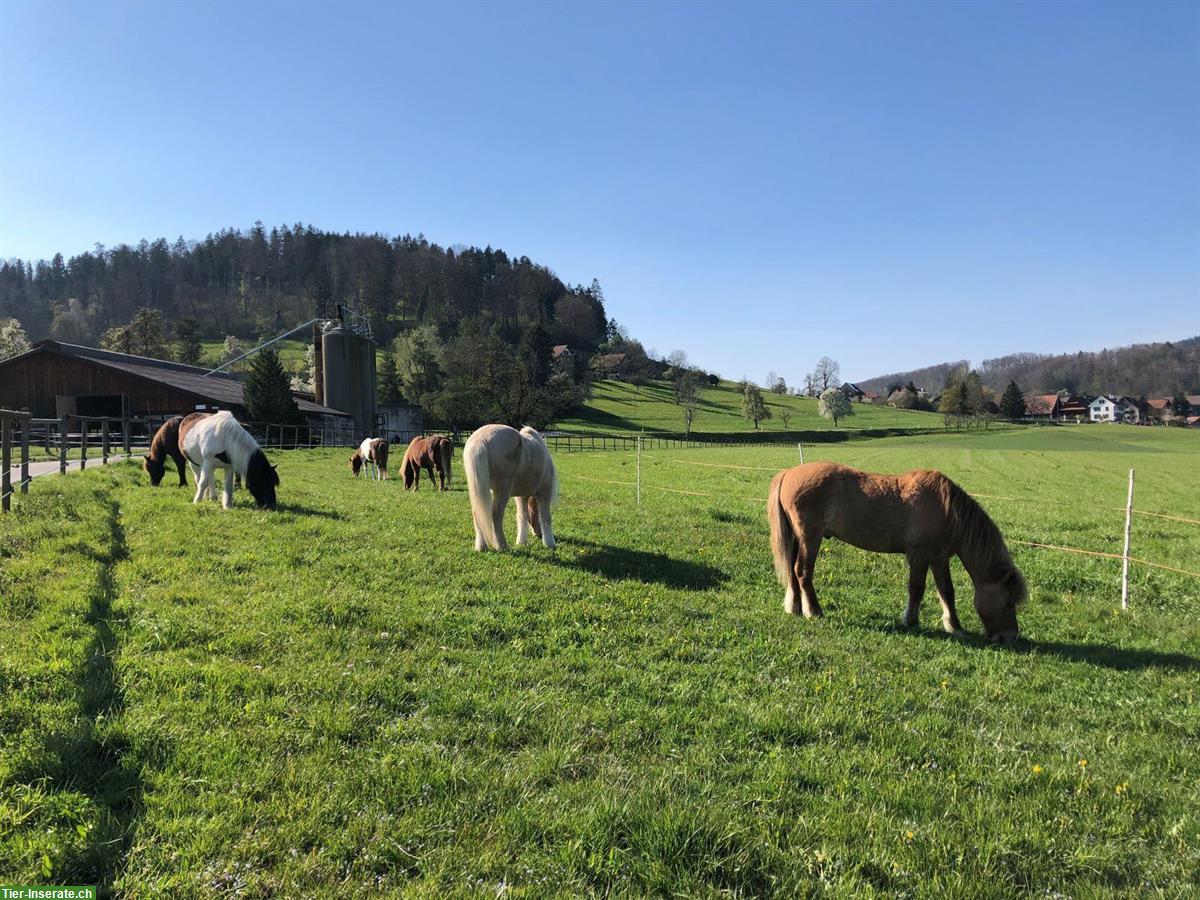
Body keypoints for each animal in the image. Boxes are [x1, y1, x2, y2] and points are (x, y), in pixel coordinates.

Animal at [772, 460, 1027, 643]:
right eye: (1008, 602)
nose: (1009, 637)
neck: (947, 509)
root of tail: (788, 473)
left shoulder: (939, 558)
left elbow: (947, 592)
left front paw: (954, 626)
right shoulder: (919, 555)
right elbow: (917, 588)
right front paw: (911, 620)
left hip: (797, 539)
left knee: (793, 572)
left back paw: (795, 608)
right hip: (810, 538)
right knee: (803, 572)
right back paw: (814, 611)